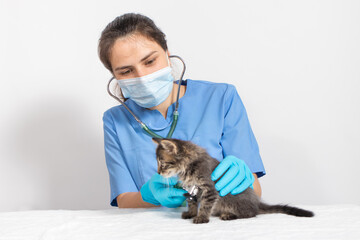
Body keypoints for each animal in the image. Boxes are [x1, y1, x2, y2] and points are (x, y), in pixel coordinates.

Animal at [153, 138, 314, 224]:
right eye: (158, 163)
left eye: (163, 163)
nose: (158, 172)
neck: (188, 168)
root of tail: (257, 203)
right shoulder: (191, 190)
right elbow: (192, 202)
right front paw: (191, 213)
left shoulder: (209, 188)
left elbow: (205, 205)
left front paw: (202, 217)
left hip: (235, 202)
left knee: (250, 213)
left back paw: (229, 215)